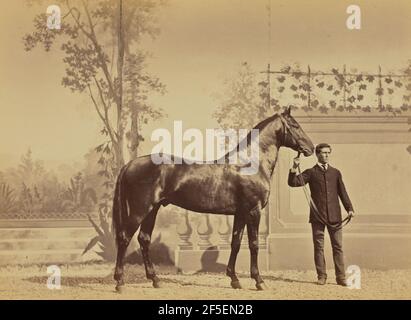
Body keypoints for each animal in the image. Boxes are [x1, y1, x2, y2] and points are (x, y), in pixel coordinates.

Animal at [111, 106, 314, 292]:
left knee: (144, 239)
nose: (311, 148)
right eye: (295, 125)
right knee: (124, 238)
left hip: (152, 210)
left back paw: (155, 280)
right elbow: (254, 244)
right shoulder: (253, 211)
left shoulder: (241, 213)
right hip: (140, 210)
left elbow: (235, 243)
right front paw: (259, 281)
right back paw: (120, 282)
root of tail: (129, 164)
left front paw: (234, 280)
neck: (250, 163)